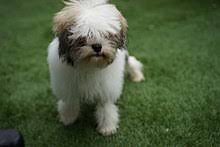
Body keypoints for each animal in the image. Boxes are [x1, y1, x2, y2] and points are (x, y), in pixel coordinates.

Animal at [47, 0, 145, 136]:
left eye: (106, 35)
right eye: (83, 37)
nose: (97, 46)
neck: (89, 65)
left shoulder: (105, 89)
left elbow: (106, 109)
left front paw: (107, 128)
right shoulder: (69, 87)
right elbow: (69, 103)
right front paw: (68, 118)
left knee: (131, 62)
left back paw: (137, 76)